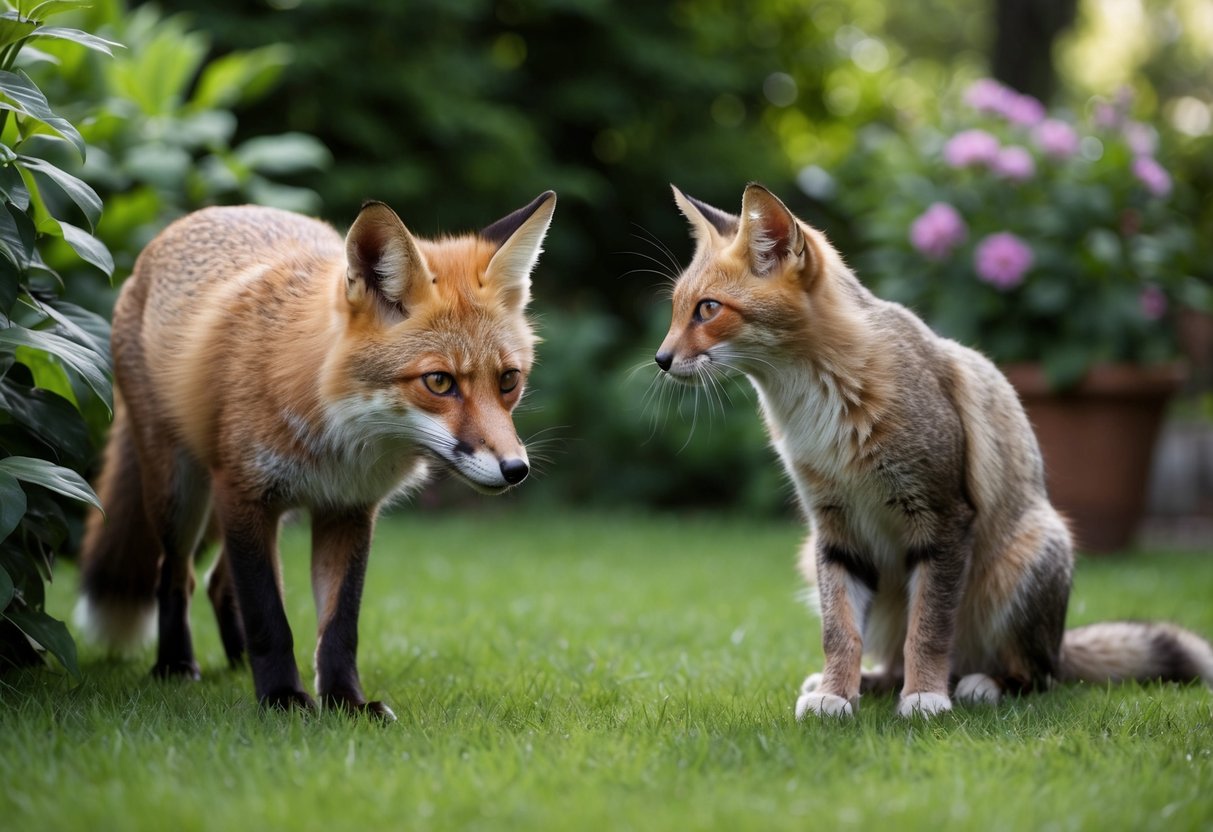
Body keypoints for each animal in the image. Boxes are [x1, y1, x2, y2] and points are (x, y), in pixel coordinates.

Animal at [76, 192, 557, 719]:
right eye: (439, 381)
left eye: (508, 380)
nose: (516, 470)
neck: (340, 442)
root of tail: (206, 214)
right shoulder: (242, 493)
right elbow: (269, 616)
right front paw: (283, 699)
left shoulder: (347, 509)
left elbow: (339, 626)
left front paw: (346, 703)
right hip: (181, 491)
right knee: (175, 575)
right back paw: (176, 666)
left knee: (219, 582)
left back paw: (237, 665)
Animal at [655, 182, 1213, 719]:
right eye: (677, 309)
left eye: (708, 309)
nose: (659, 359)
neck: (823, 407)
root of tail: (1058, 643)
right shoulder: (834, 530)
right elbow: (840, 632)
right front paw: (837, 695)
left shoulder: (942, 517)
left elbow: (928, 628)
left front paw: (926, 698)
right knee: (894, 660)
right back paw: (872, 684)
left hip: (1028, 563)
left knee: (1039, 676)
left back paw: (980, 685)